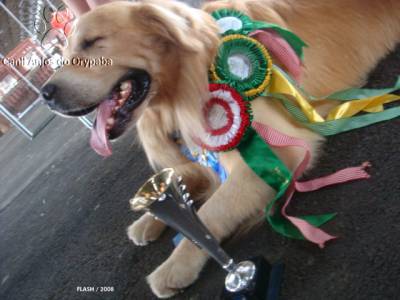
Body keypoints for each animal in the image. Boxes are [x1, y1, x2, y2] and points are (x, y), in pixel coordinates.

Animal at [41, 0, 400, 298]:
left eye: (91, 42)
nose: (46, 94)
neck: (181, 89)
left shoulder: (277, 153)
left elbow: (210, 212)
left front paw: (176, 264)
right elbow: (183, 184)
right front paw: (148, 219)